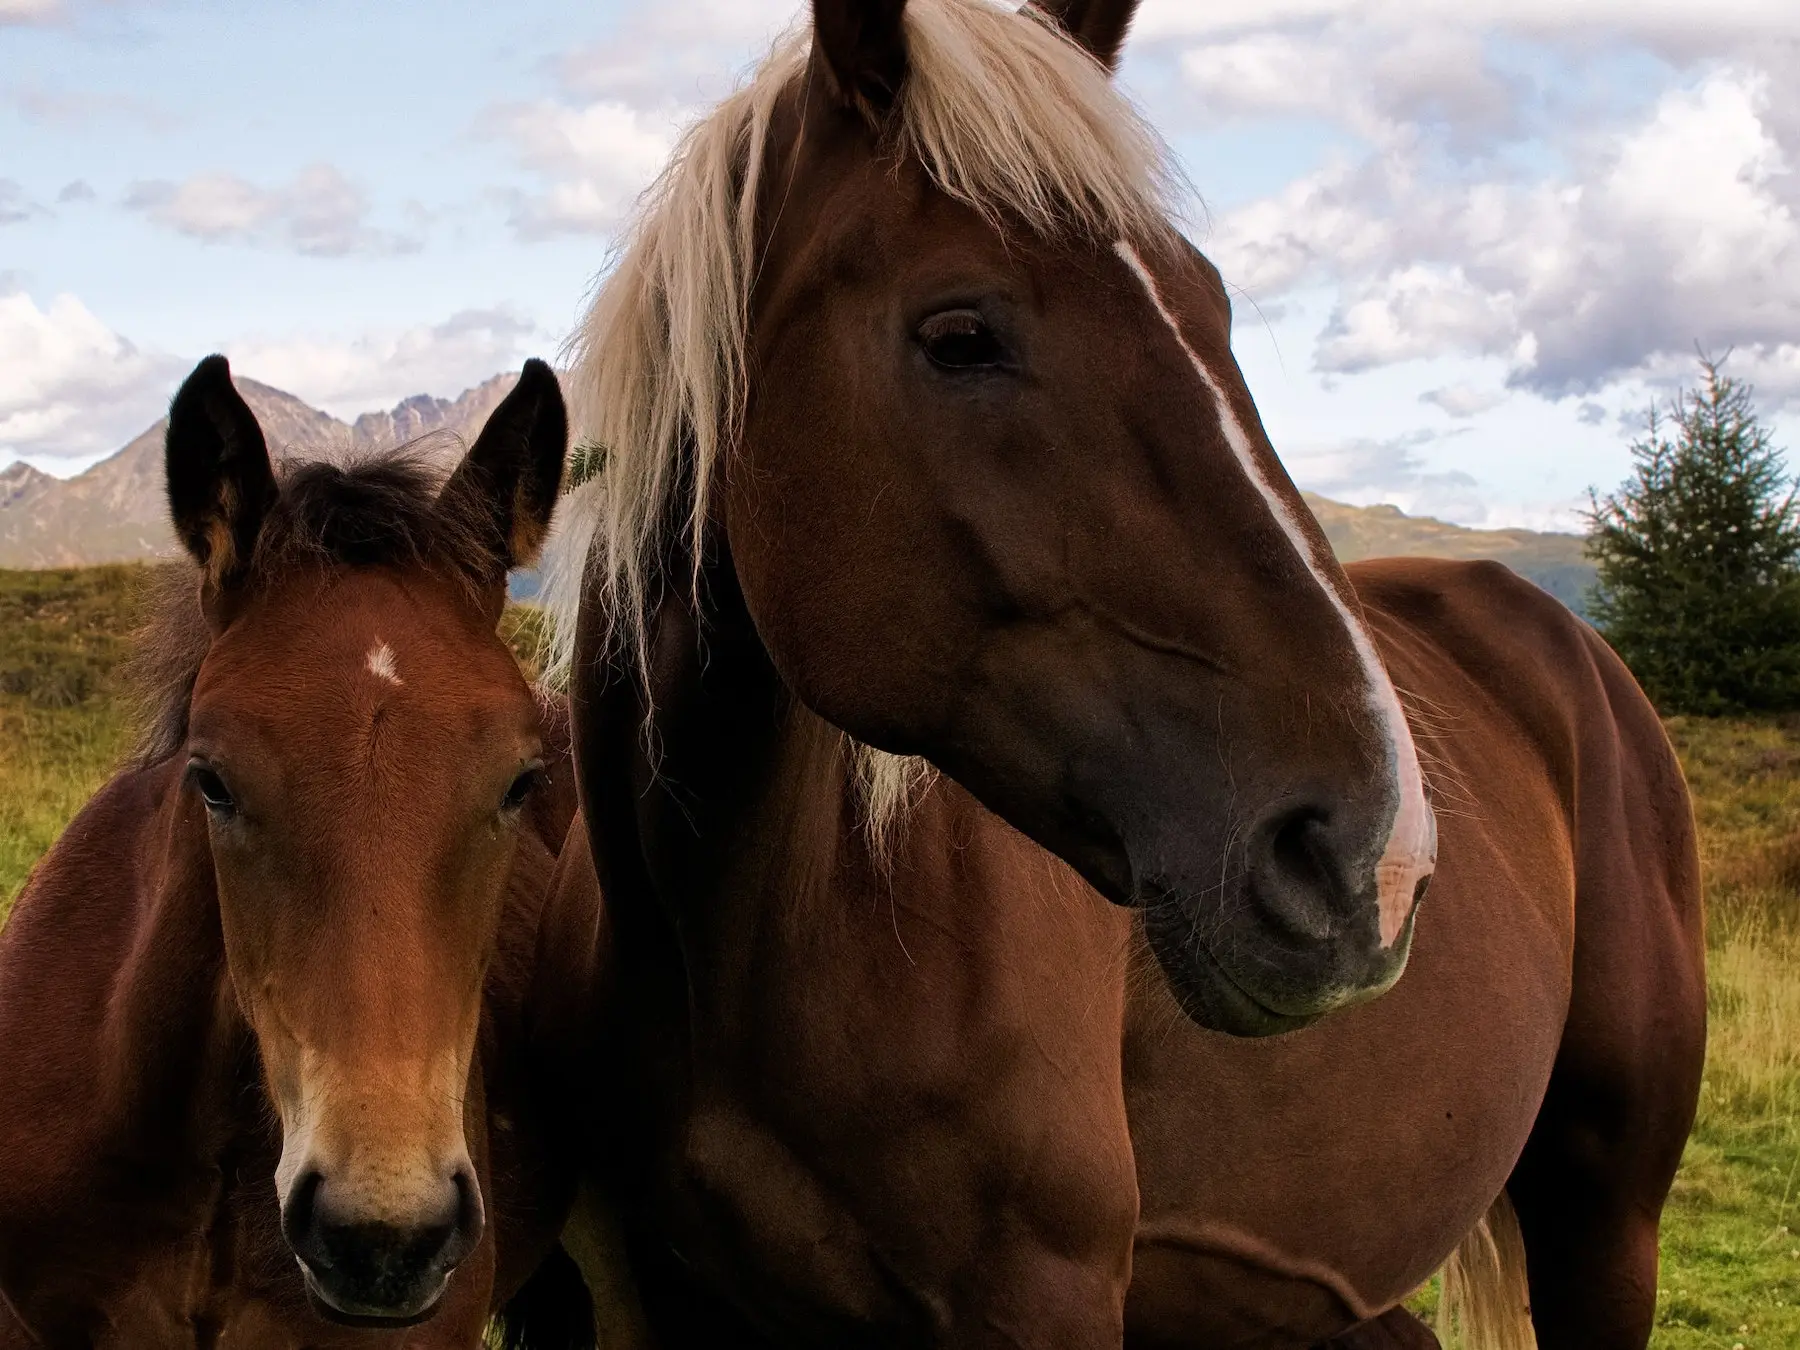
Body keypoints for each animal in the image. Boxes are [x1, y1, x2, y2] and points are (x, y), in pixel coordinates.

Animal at [540, 2, 1706, 1350]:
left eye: (1214, 309)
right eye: (960, 335)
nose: (1373, 858)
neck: (751, 952)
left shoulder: (1044, 1296)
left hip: (1608, 1225)